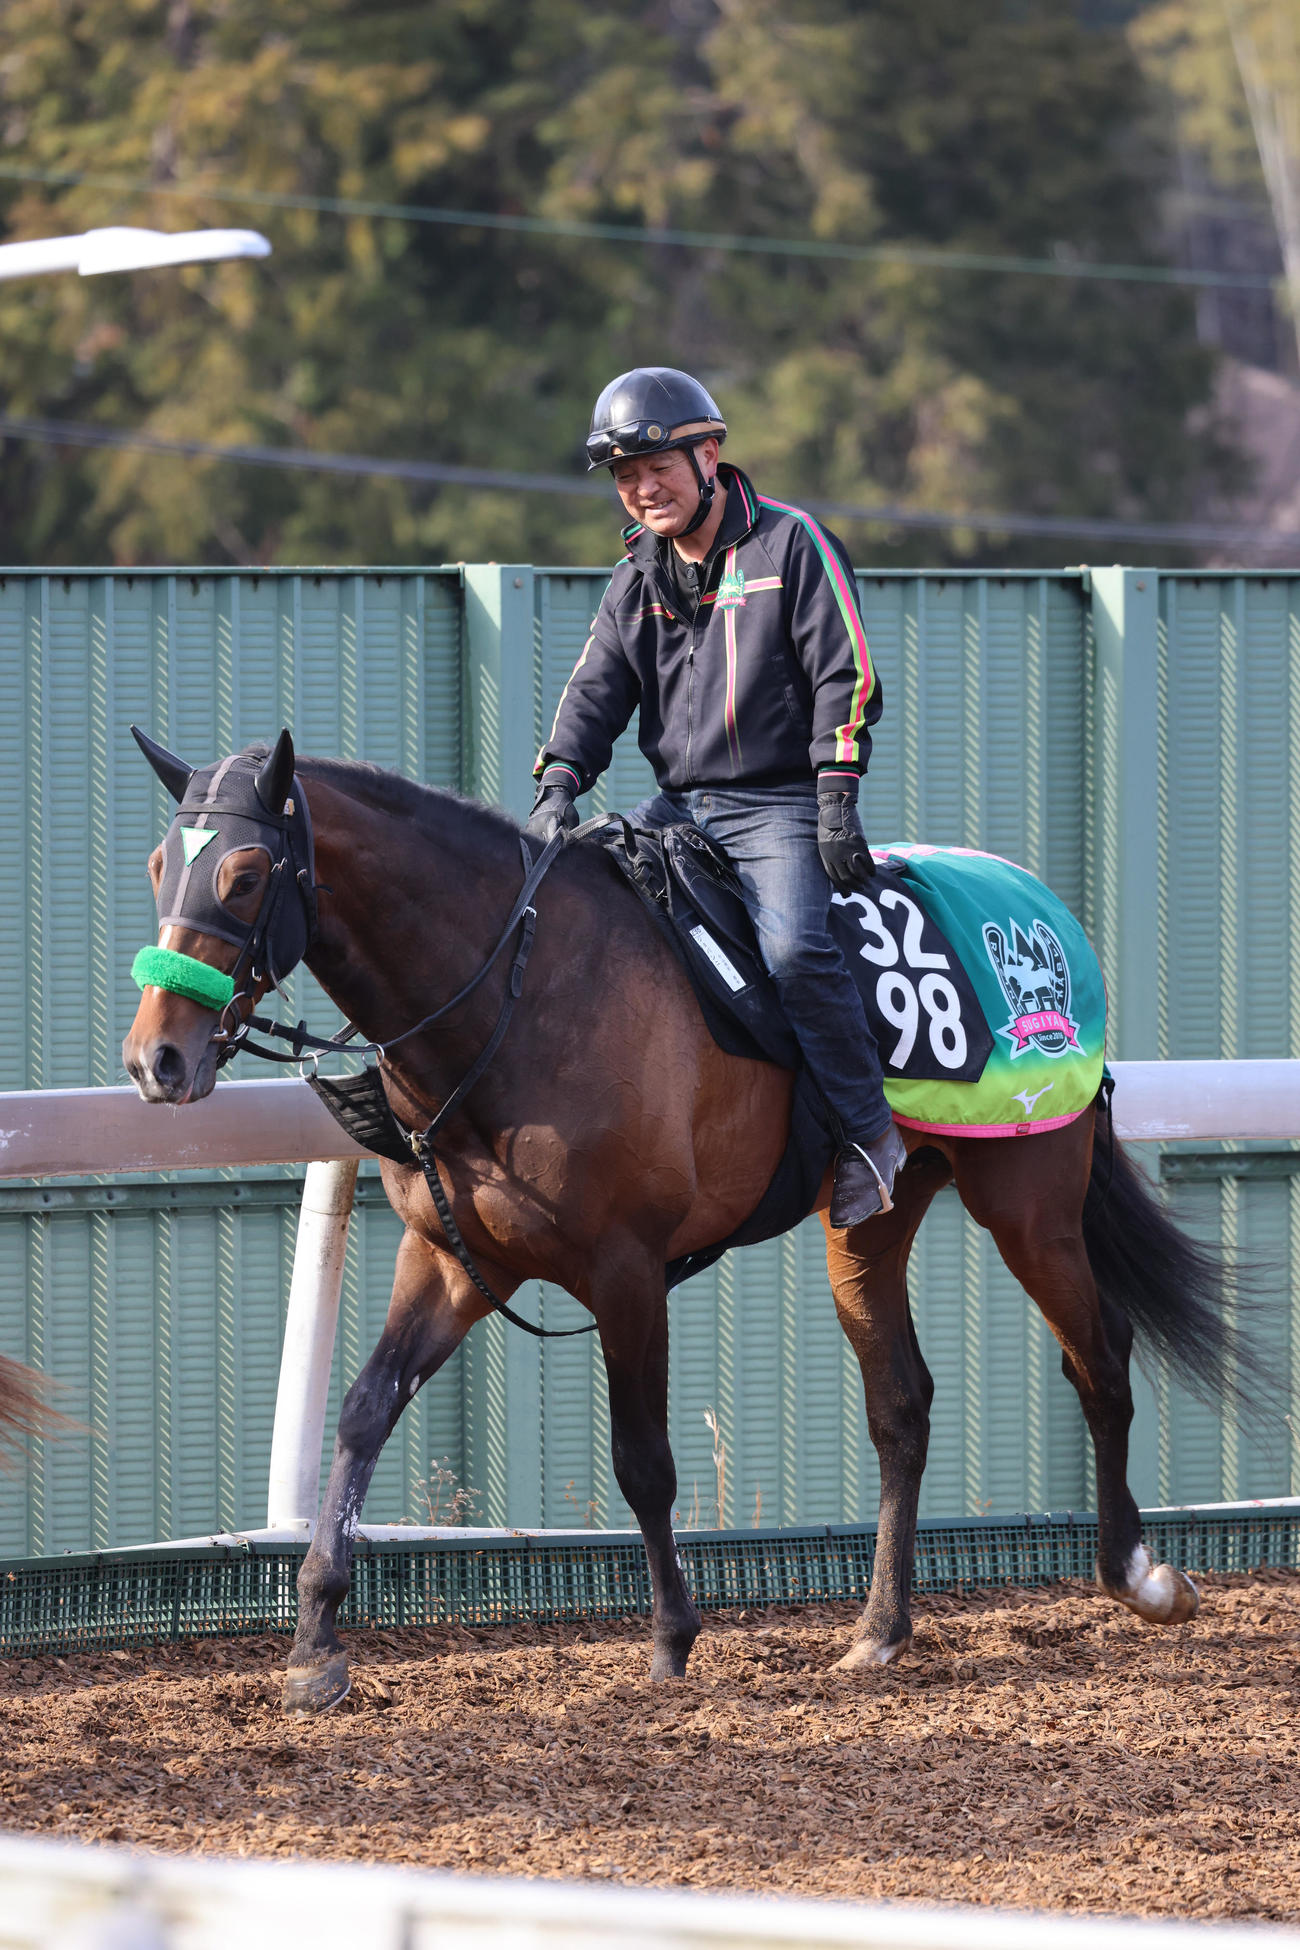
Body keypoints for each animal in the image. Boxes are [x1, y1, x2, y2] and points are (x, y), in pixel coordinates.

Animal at [122, 731, 1254, 1715]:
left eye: (247, 875)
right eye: (157, 867)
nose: (155, 1059)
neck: (520, 992)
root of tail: (1043, 910)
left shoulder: (625, 1270)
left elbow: (643, 1459)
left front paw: (671, 1637)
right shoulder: (450, 1257)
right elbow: (362, 1414)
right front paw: (315, 1645)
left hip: (1028, 1194)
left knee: (1100, 1355)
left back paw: (1141, 1576)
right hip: (866, 1223)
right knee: (902, 1406)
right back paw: (879, 1631)